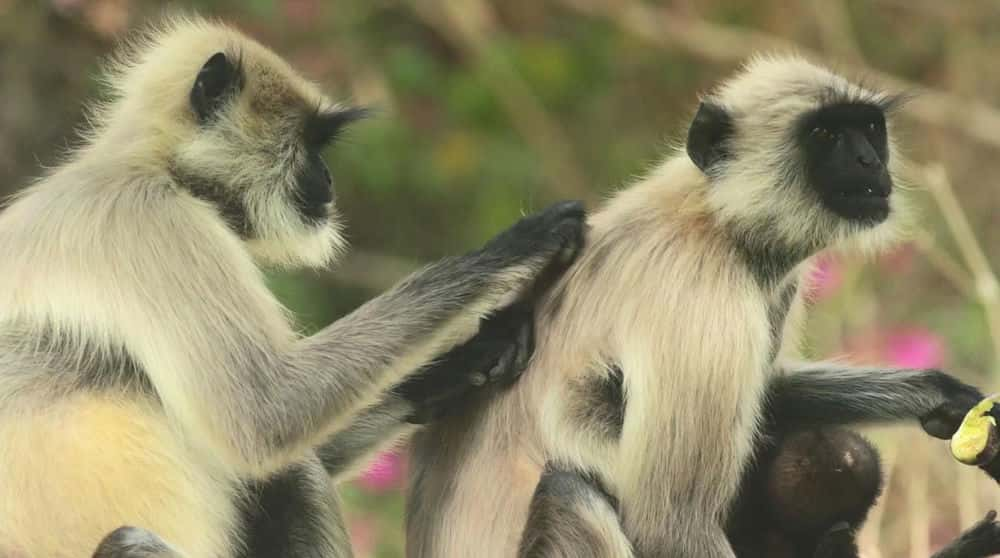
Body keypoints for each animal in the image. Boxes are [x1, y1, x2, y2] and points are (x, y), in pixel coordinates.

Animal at [1, 14, 584, 558]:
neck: (152, 165)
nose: (328, 179)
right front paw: (515, 248)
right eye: (309, 144)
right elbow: (265, 414)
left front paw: (472, 358)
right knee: (286, 473)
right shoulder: (154, 221)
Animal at [408, 58, 992, 558]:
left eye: (869, 130)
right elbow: (669, 523)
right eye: (825, 136)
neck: (716, 218)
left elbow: (770, 392)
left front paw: (943, 397)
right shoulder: (705, 298)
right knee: (569, 492)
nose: (869, 161)